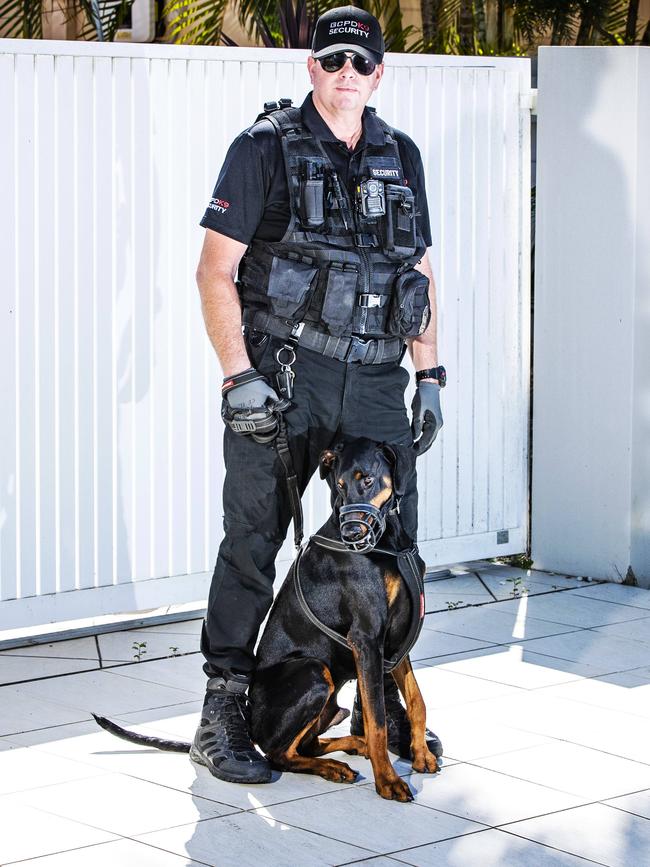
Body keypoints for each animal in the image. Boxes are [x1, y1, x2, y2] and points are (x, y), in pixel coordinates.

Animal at [92, 438, 436, 804]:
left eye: (367, 480)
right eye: (339, 486)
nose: (352, 533)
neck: (389, 544)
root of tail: (250, 726)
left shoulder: (395, 638)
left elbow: (416, 701)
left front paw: (421, 756)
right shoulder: (367, 636)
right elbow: (377, 721)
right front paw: (388, 782)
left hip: (329, 705)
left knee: (307, 744)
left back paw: (351, 749)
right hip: (313, 670)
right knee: (279, 754)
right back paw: (336, 764)